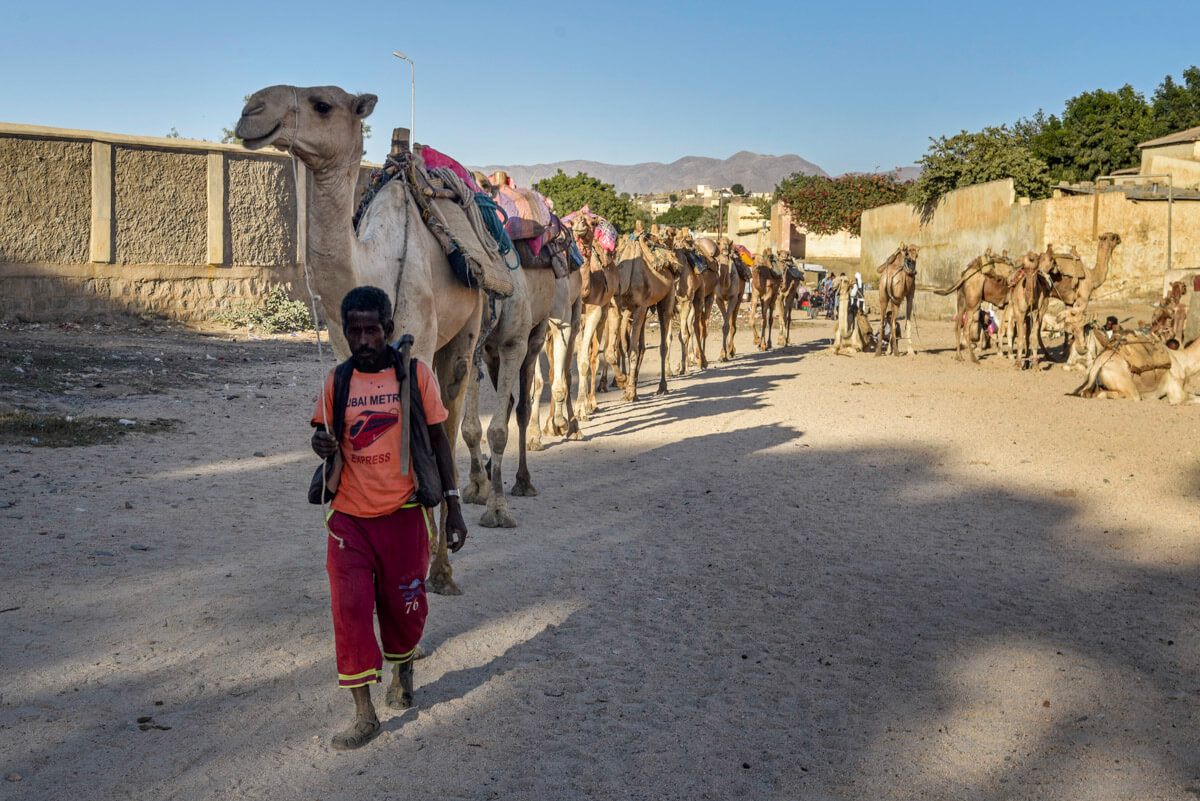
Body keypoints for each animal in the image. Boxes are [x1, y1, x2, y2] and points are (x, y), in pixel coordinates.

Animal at [236, 82, 480, 594]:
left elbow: (425, 440)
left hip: (470, 325)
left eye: (322, 105)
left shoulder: (418, 347)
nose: (251, 109)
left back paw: (445, 562)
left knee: (453, 411)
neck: (375, 268)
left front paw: (431, 561)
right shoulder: (345, 350)